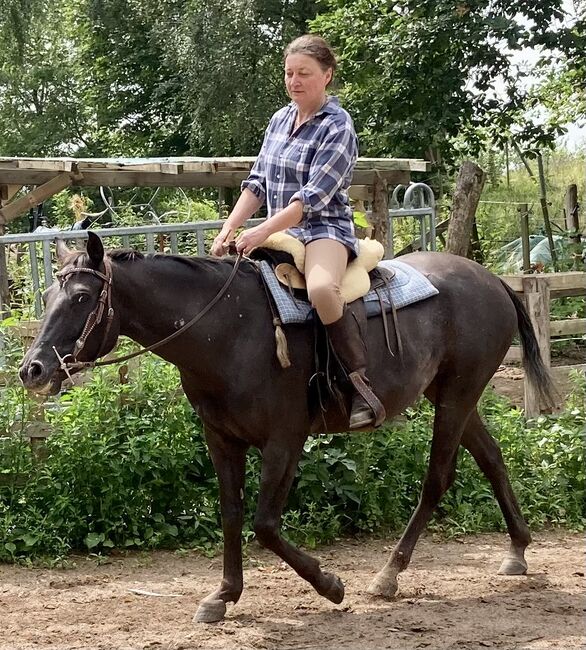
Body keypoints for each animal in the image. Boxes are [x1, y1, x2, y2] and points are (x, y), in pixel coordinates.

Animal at [19, 233, 552, 624]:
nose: (33, 370)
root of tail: (491, 279)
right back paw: (517, 550)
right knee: (491, 458)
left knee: (438, 479)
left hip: (458, 396)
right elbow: (232, 514)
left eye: (82, 297)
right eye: (48, 294)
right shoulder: (222, 440)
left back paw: (389, 574)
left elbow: (265, 525)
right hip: (452, 397)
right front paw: (223, 595)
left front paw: (330, 585)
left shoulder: (284, 442)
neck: (227, 330)